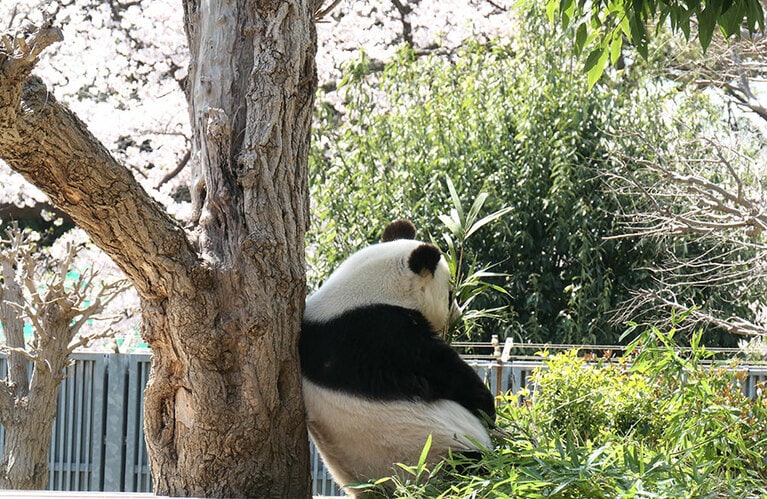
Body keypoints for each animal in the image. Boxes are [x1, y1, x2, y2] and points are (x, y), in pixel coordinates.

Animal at [296, 220, 496, 496]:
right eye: (450, 294)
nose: (457, 316)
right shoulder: (388, 337)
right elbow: (451, 376)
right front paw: (488, 408)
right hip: (444, 454)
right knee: (475, 470)